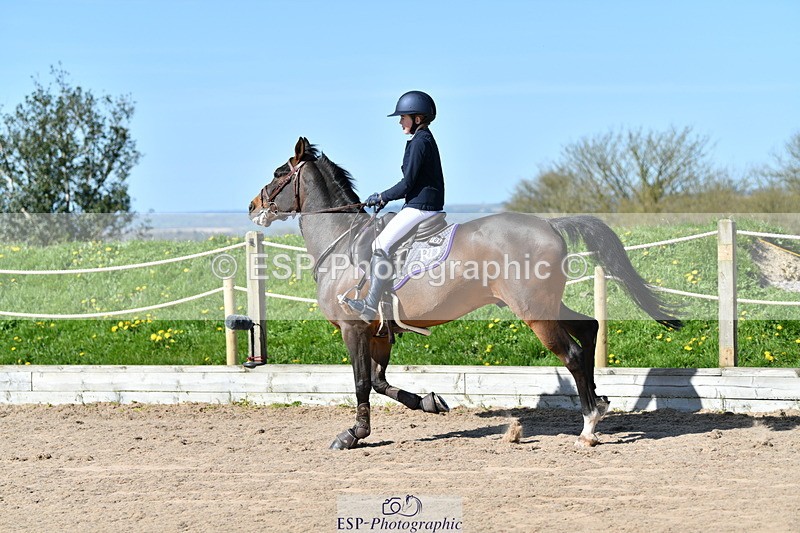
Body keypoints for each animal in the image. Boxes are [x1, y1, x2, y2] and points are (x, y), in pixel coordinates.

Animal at [248, 137, 682, 449]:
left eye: (278, 173)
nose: (253, 206)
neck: (341, 244)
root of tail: (550, 224)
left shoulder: (354, 329)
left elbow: (360, 383)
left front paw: (353, 435)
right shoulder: (380, 332)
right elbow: (379, 381)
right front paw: (430, 403)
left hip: (534, 312)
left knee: (572, 354)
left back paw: (589, 426)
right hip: (546, 304)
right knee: (589, 328)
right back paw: (601, 404)